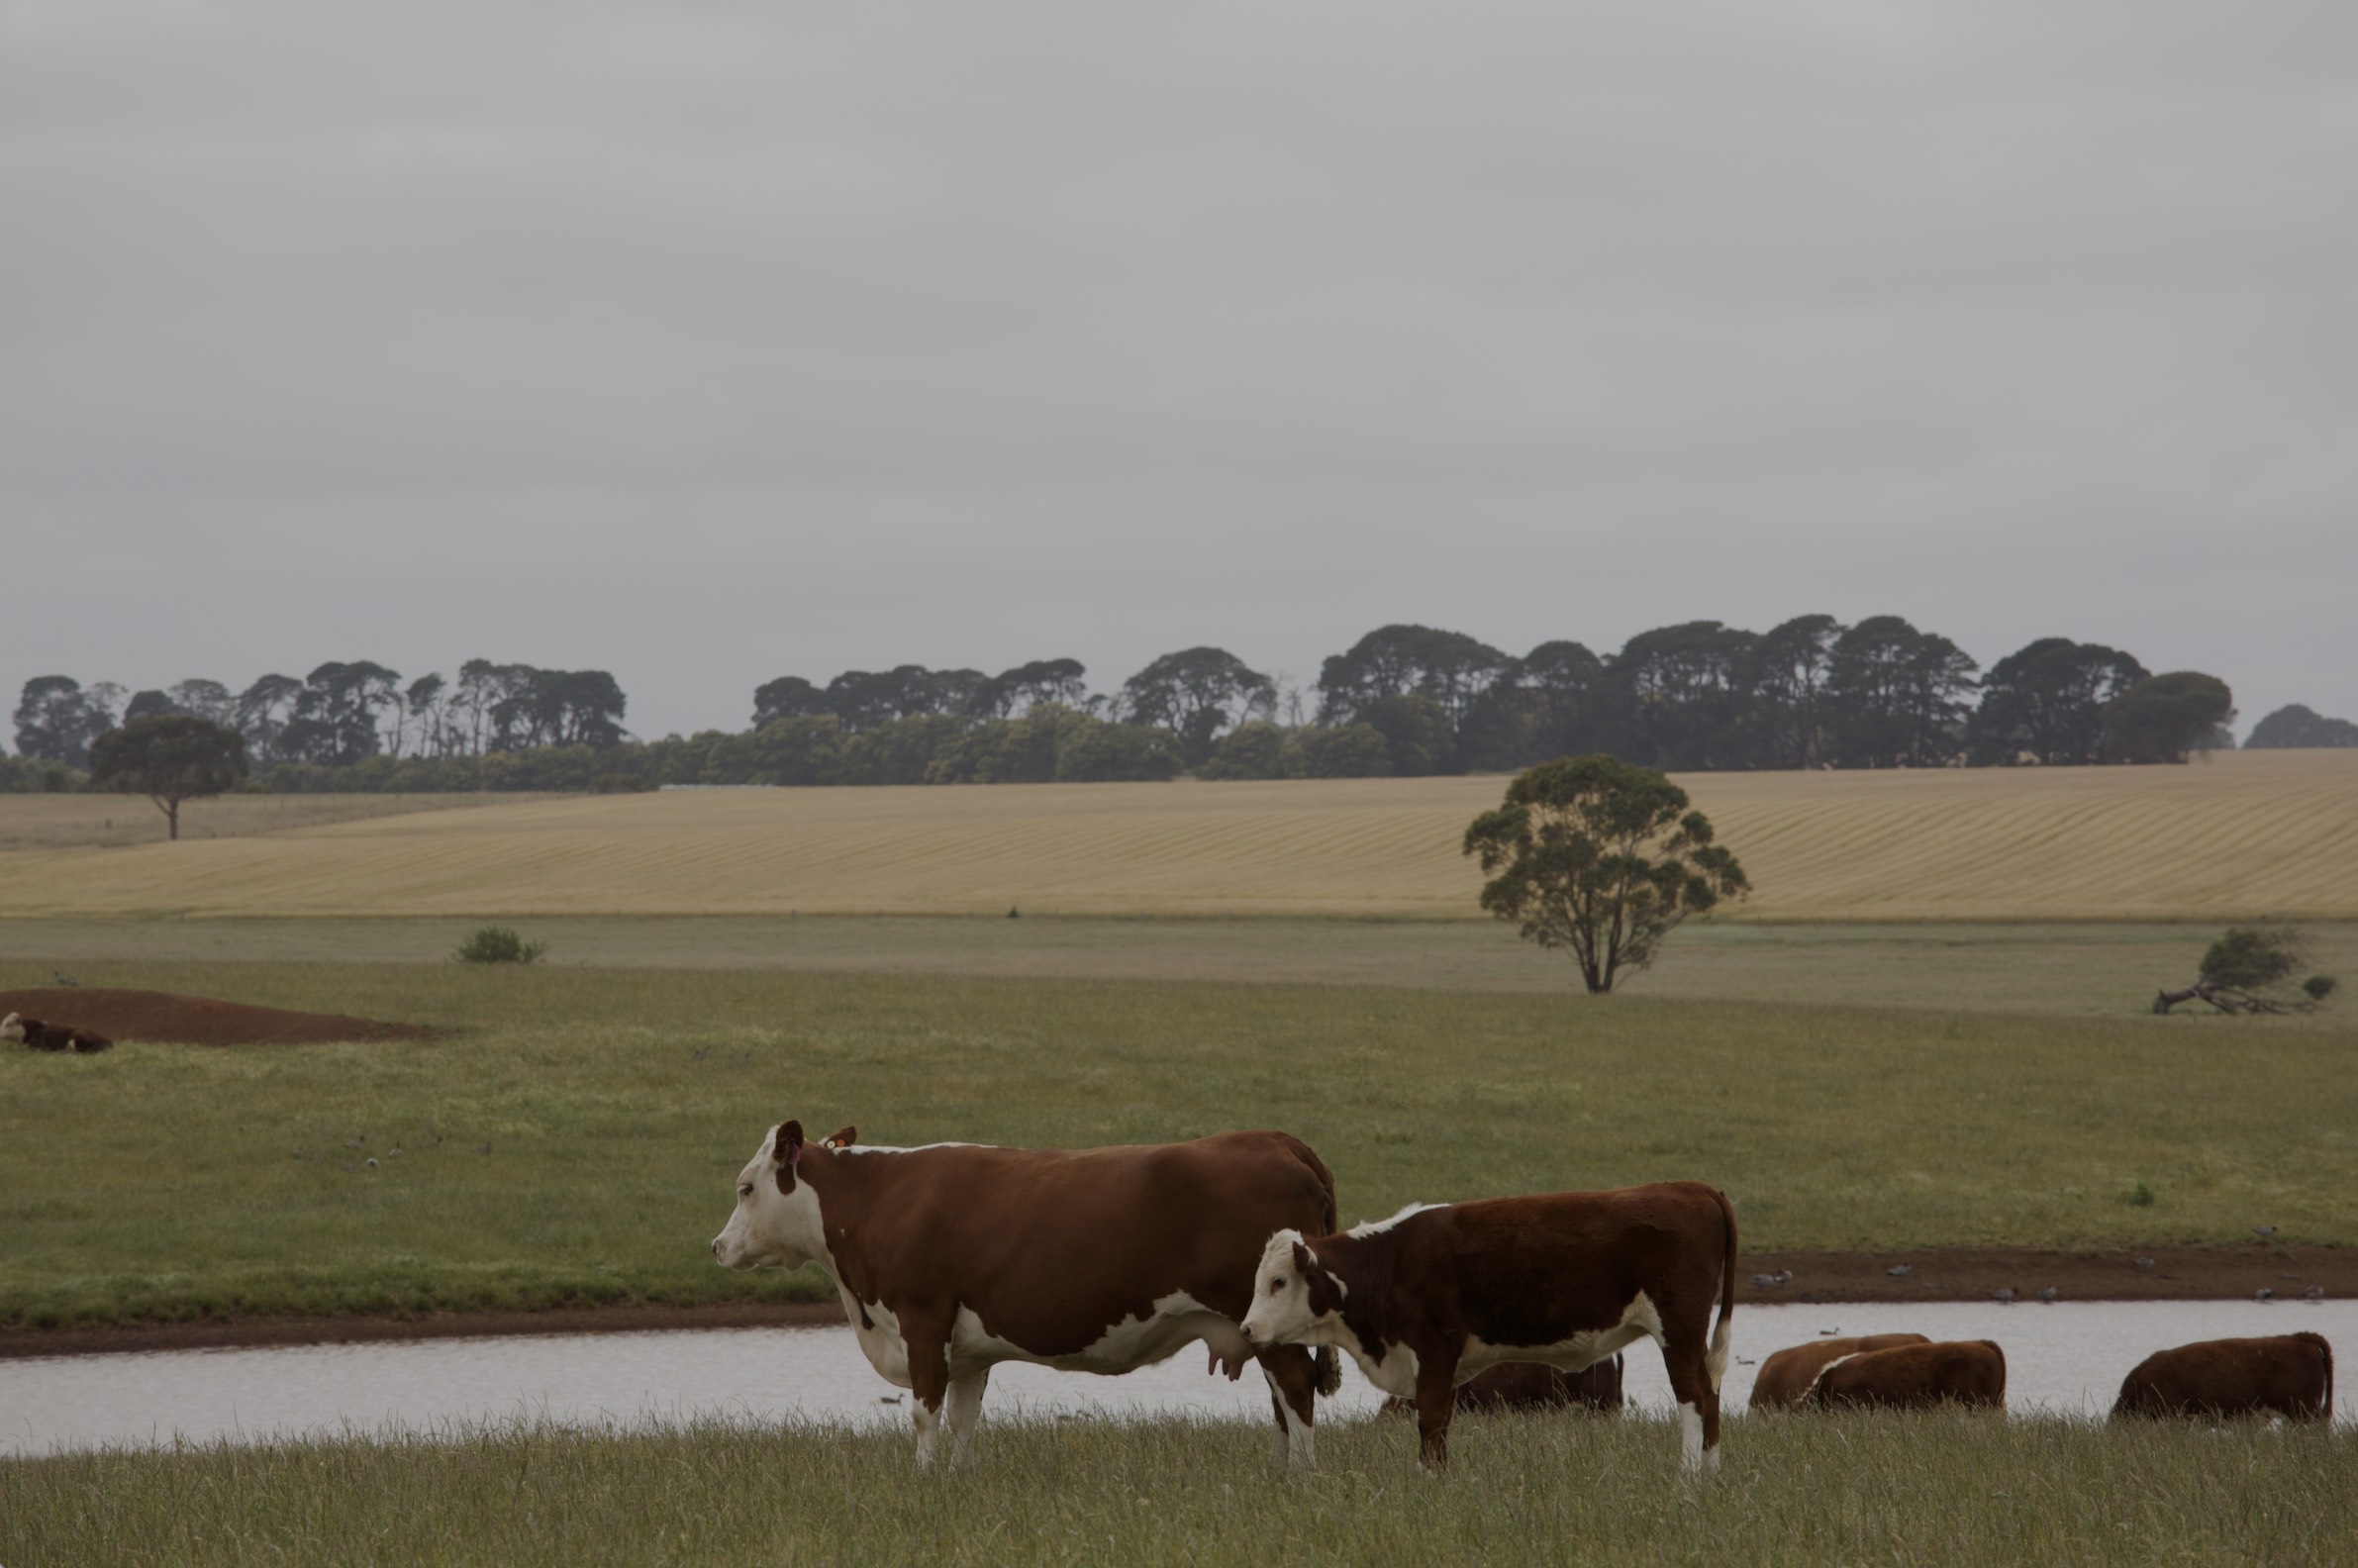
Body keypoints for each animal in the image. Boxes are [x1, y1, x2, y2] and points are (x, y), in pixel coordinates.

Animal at [711, 1121, 1343, 1470]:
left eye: (745, 1188)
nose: (717, 1247)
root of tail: (1276, 1140)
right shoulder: (966, 1348)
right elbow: (964, 1418)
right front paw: (956, 1481)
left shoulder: (922, 1321)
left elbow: (924, 1411)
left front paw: (920, 1479)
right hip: (1259, 1327)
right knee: (1281, 1401)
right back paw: (1279, 1474)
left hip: (1272, 1322)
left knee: (1294, 1388)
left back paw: (1302, 1479)